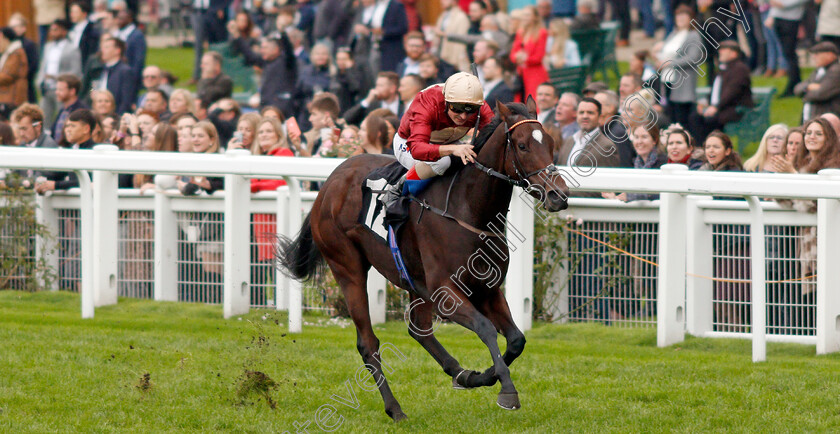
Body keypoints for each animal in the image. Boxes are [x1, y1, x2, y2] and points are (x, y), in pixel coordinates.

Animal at [278, 99, 568, 420]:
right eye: (522, 145)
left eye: (551, 143)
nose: (559, 195)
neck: (468, 209)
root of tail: (329, 183)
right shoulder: (445, 291)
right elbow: (486, 328)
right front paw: (506, 390)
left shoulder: (487, 289)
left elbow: (516, 339)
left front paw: (485, 374)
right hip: (347, 267)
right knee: (368, 343)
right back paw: (395, 409)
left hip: (412, 279)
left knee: (419, 329)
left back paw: (461, 374)